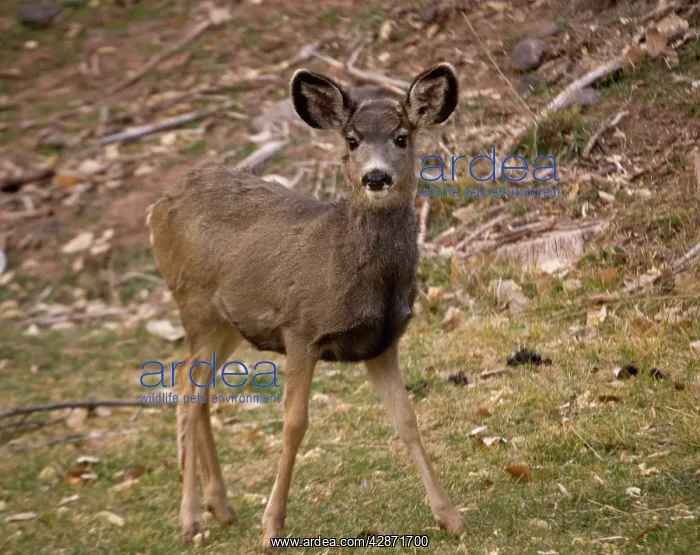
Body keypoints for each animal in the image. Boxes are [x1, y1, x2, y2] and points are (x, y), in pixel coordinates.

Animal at [146, 62, 466, 550]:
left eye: (402, 137)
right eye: (352, 140)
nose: (376, 177)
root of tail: (157, 209)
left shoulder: (382, 343)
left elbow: (407, 419)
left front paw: (450, 516)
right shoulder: (301, 329)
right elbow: (295, 423)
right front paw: (272, 526)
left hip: (228, 323)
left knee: (196, 385)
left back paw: (221, 507)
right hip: (194, 304)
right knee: (188, 391)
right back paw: (192, 519)